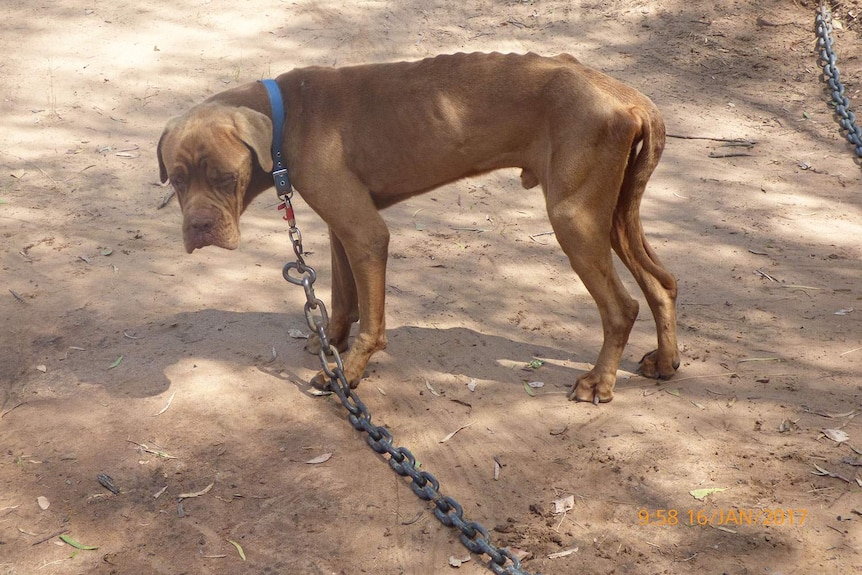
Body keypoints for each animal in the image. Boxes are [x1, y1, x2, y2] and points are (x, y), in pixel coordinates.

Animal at [157, 53, 680, 404]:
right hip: (612, 215)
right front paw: (331, 343)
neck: (288, 116)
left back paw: (598, 382)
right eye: (176, 180)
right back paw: (665, 361)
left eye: (225, 177)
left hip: (574, 218)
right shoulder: (342, 228)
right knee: (662, 284)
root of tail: (628, 97)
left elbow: (372, 323)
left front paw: (345, 373)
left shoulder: (366, 233)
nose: (200, 227)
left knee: (622, 307)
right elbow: (343, 298)